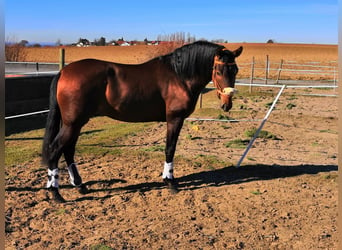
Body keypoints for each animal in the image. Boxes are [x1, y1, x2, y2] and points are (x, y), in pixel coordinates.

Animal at [40, 40, 243, 201]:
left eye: (235, 69)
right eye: (218, 70)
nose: (227, 103)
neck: (179, 75)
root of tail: (64, 71)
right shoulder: (174, 119)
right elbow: (170, 148)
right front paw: (170, 182)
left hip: (76, 123)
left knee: (68, 150)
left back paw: (80, 186)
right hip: (72, 123)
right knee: (55, 150)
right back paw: (56, 193)